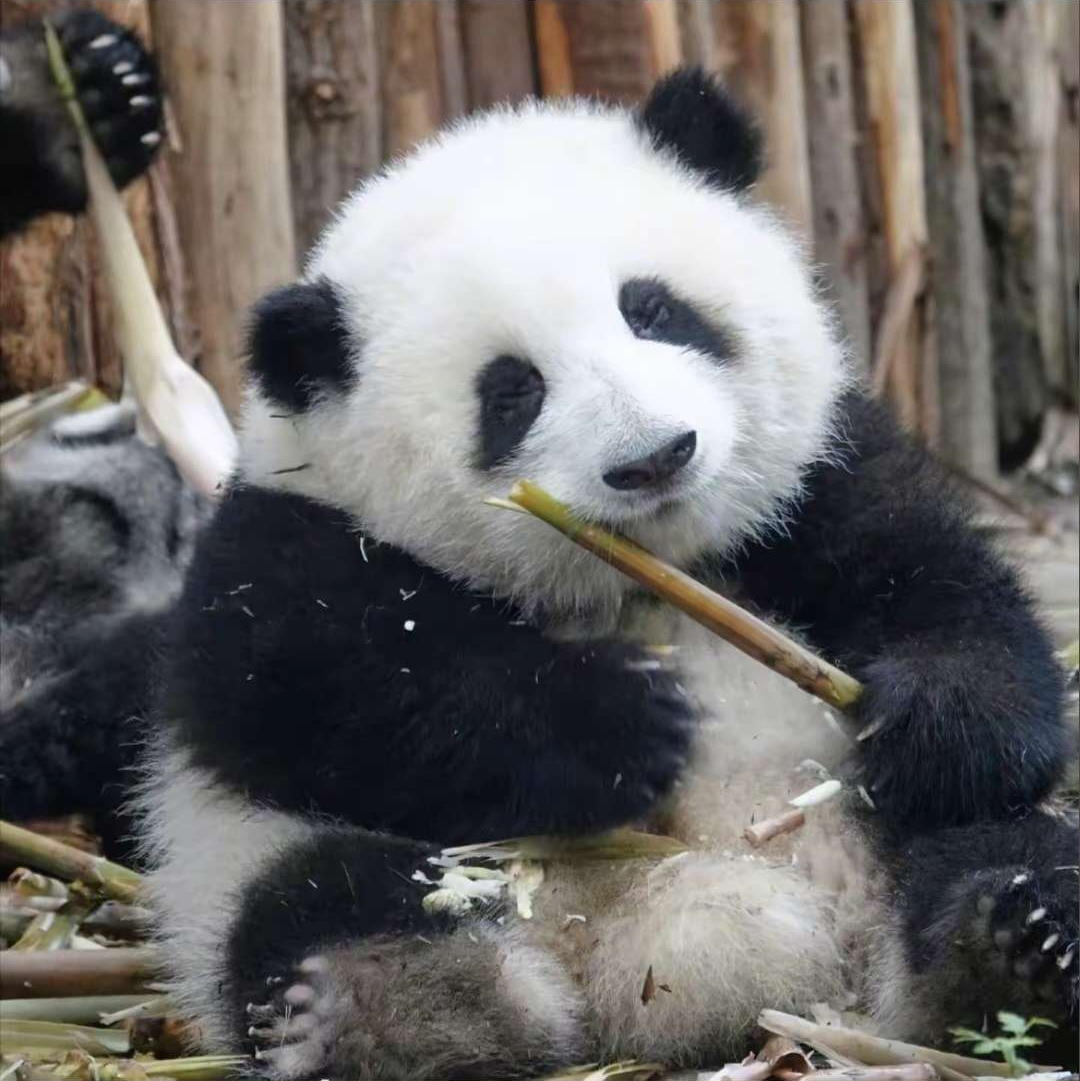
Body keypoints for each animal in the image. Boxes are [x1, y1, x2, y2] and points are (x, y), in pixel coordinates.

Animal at [138, 69, 1078, 1078]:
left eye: (652, 309)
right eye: (512, 390)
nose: (656, 456)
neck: (635, 576)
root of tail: (644, 961)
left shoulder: (820, 474)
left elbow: (941, 586)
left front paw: (934, 722)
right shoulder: (286, 537)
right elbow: (298, 686)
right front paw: (627, 723)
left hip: (887, 848)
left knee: (1000, 844)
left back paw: (1016, 943)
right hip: (281, 857)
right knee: (325, 895)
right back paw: (381, 1005)